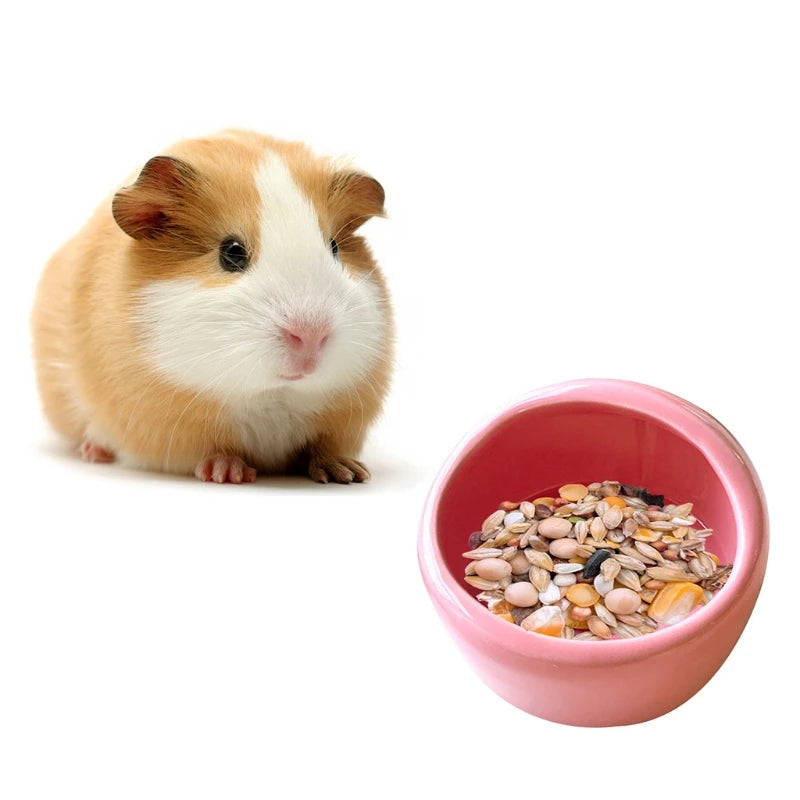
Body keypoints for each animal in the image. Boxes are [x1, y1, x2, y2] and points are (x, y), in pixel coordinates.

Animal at [31, 130, 393, 483]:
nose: (311, 335)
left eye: (334, 248)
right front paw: (229, 474)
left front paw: (349, 473)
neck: (273, 395)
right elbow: (215, 450)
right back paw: (95, 452)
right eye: (231, 252)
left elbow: (323, 448)